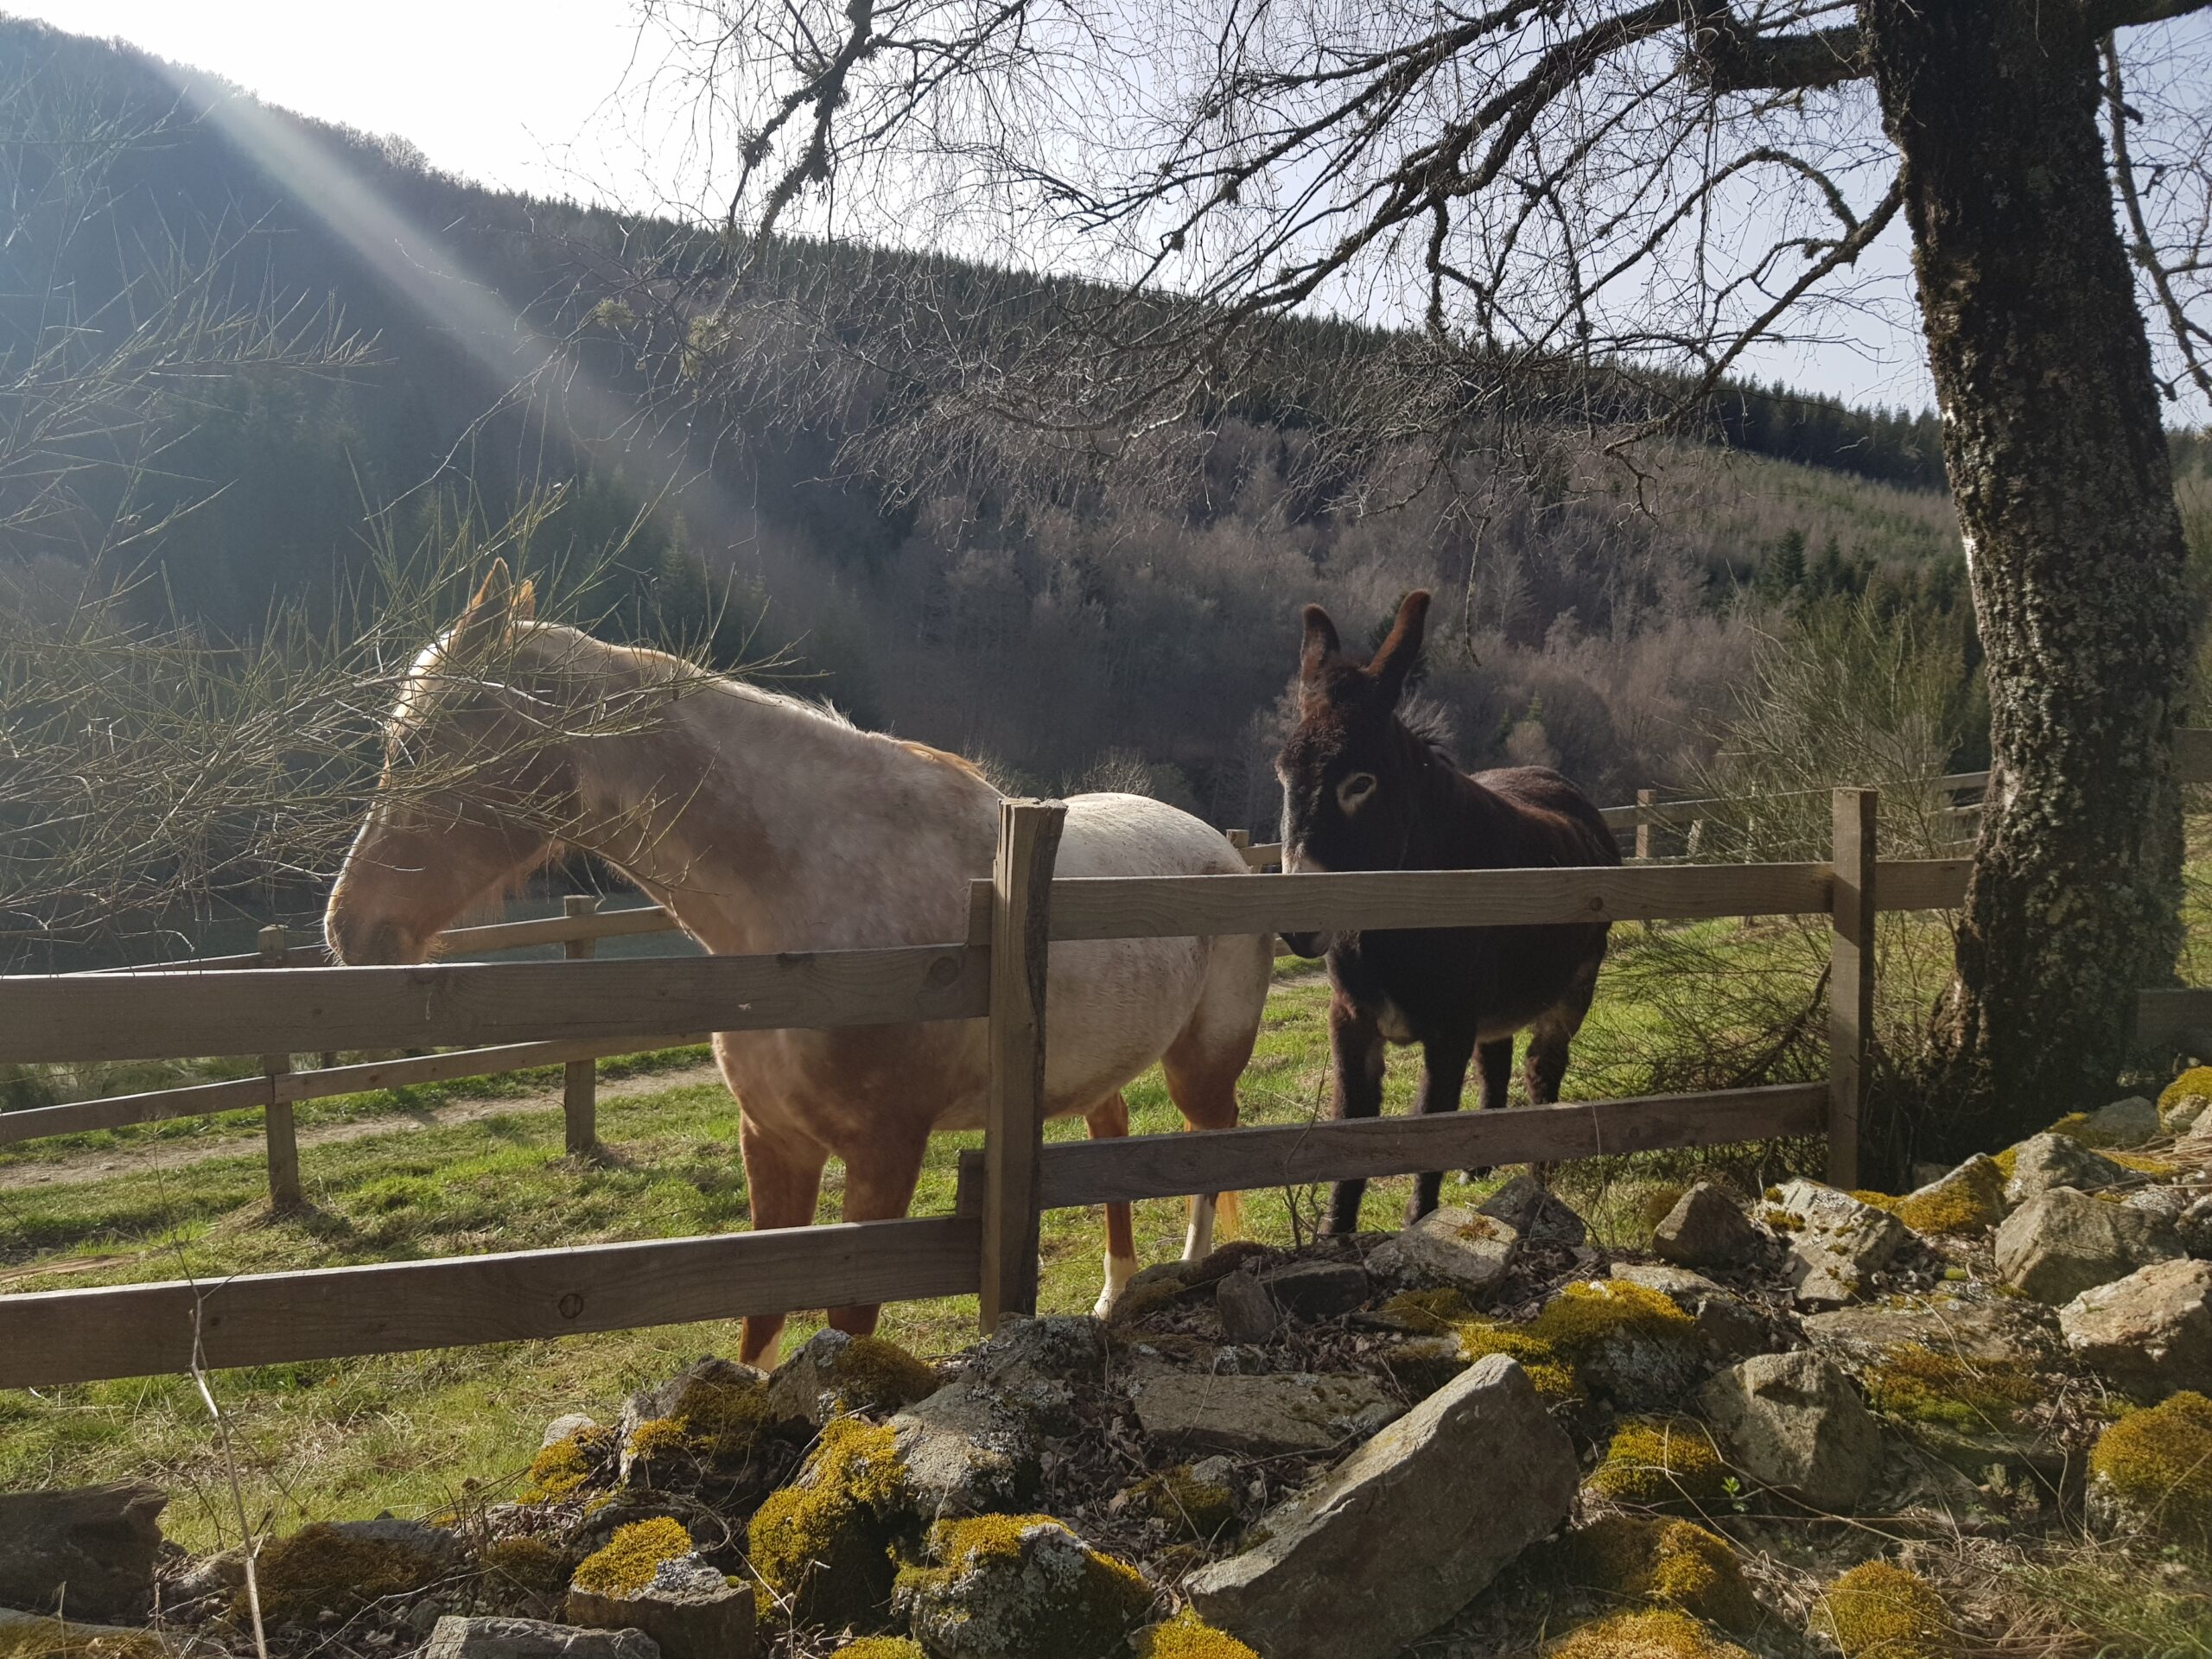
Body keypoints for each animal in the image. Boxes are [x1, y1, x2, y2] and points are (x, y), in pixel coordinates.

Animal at [324, 564, 1270, 1361]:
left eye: (424, 746)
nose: (349, 931)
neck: (808, 911)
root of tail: (1223, 850)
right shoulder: (773, 1140)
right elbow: (763, 1324)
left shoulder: (883, 1157)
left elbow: (844, 1334)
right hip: (1088, 1072)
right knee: (1112, 1142)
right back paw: (1114, 1298)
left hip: (1201, 1067)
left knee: (1211, 1150)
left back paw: (1191, 1271)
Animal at [1273, 589, 1619, 1236]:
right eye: (1283, 775)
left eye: (1361, 783)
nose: (1298, 925)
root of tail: (1556, 781)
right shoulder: (1350, 1019)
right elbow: (1350, 1129)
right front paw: (1335, 1233)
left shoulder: (1449, 1028)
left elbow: (1429, 1131)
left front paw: (1420, 1226)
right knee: (1496, 1062)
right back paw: (1481, 1165)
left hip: (1573, 989)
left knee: (1542, 1072)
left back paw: (1537, 1182)